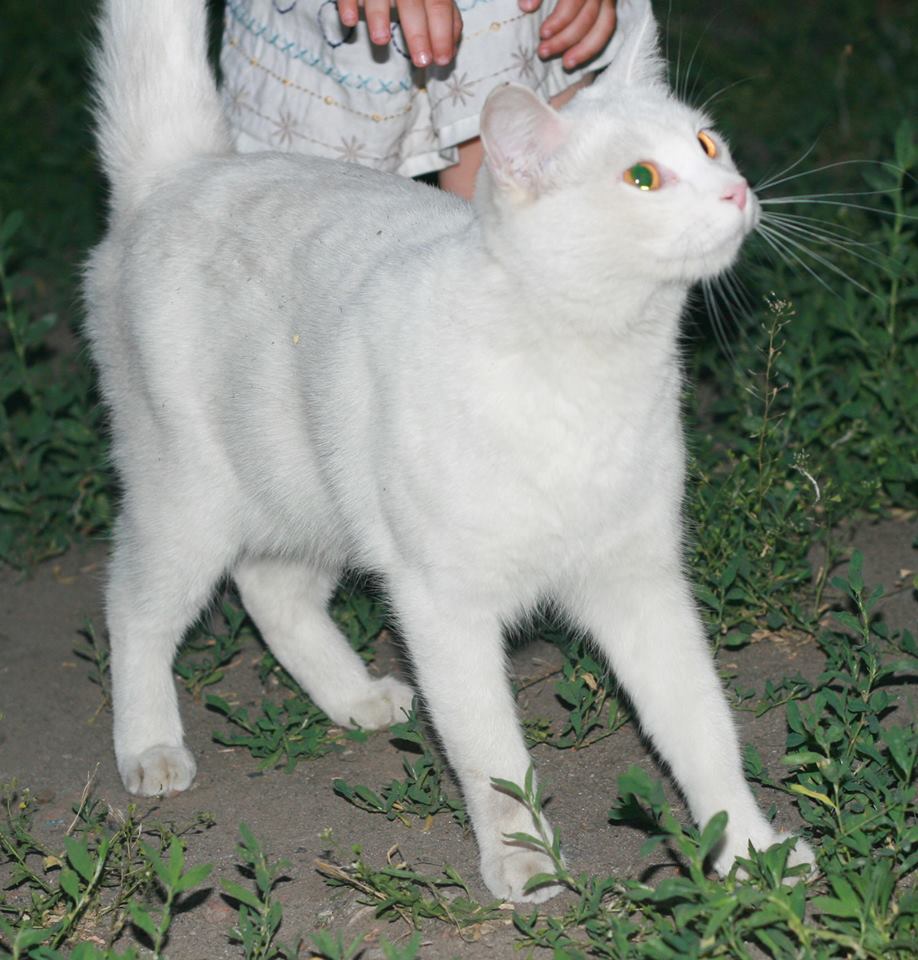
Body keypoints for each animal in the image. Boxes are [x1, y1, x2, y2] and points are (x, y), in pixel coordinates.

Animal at [85, 0, 815, 902]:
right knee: (134, 606)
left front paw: (749, 849)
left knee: (270, 589)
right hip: (188, 501)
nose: (736, 190)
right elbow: (492, 756)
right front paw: (524, 858)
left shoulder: (641, 582)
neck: (591, 368)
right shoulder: (444, 604)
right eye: (643, 178)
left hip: (310, 499)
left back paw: (355, 697)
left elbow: (702, 726)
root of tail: (187, 169)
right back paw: (150, 744)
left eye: (709, 146)